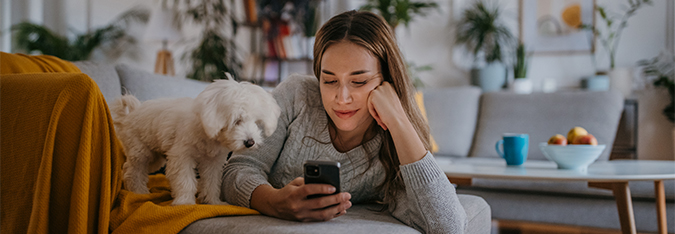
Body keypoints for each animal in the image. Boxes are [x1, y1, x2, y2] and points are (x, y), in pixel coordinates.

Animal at [111, 78, 280, 205]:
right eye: (237, 121)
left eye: (257, 123)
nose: (250, 142)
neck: (208, 134)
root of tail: (131, 113)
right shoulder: (181, 157)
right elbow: (185, 181)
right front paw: (184, 202)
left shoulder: (213, 162)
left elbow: (211, 182)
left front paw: (213, 202)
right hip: (141, 152)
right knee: (132, 170)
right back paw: (138, 191)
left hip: (156, 158)